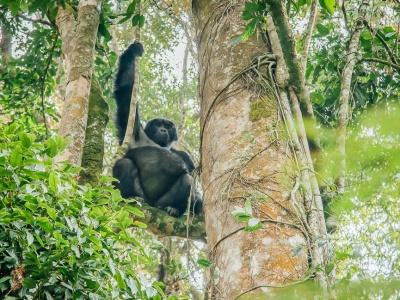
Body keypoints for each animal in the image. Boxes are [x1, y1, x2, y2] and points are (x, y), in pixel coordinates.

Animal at [111, 41, 202, 217]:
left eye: (168, 126)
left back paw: (173, 208)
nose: (163, 130)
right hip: (142, 197)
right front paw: (133, 51)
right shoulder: (135, 131)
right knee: (125, 164)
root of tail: (152, 204)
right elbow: (127, 93)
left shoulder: (186, 157)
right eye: (158, 124)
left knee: (187, 180)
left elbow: (194, 181)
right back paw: (131, 197)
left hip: (161, 202)